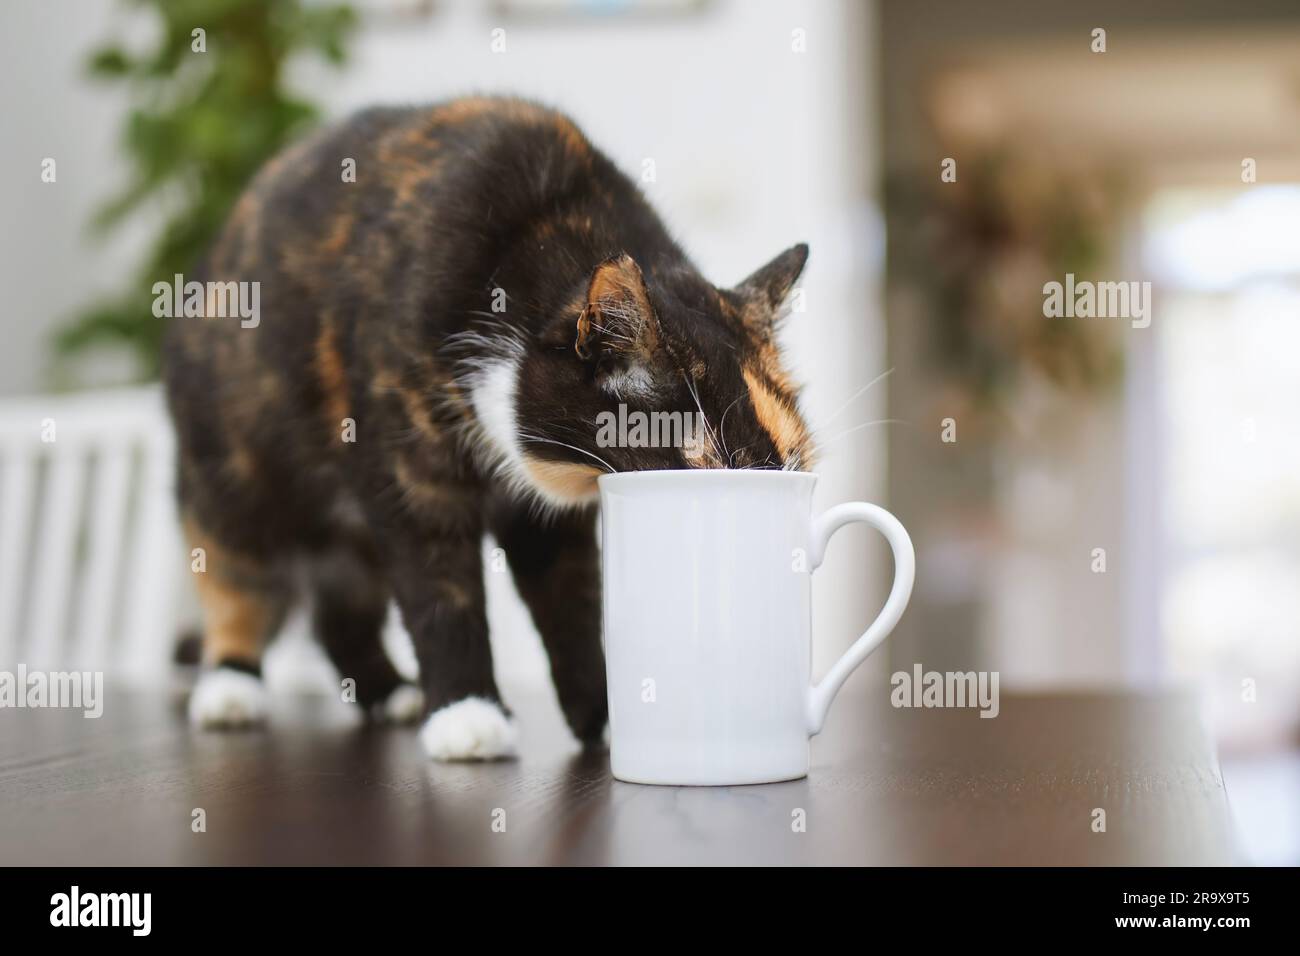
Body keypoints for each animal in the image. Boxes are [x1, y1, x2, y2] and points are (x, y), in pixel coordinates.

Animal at [162, 97, 811, 764]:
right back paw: (230, 686)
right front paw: (466, 715)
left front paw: (601, 717)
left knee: (340, 607)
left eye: (790, 461)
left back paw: (388, 692)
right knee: (236, 572)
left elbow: (572, 603)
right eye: (701, 463)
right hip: (231, 467)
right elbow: (439, 589)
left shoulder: (549, 513)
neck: (547, 225)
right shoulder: (410, 469)